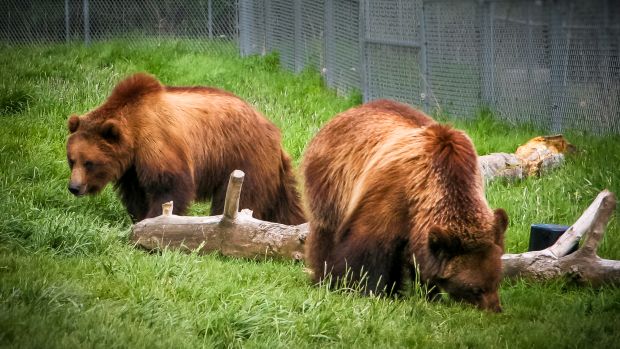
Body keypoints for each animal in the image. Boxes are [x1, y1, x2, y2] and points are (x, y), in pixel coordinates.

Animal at [67, 73, 306, 226]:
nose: (74, 187)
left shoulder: (158, 141)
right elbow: (136, 194)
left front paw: (155, 219)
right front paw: (139, 217)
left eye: (89, 162)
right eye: (71, 160)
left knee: (240, 197)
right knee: (283, 204)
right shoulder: (131, 168)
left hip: (242, 157)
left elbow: (170, 185)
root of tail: (273, 130)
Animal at [302, 99, 508, 312]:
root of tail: (341, 115)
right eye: (475, 289)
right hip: (333, 183)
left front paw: (430, 294)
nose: (495, 309)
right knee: (326, 233)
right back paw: (324, 277)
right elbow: (367, 251)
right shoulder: (388, 197)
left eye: (496, 281)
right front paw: (364, 290)